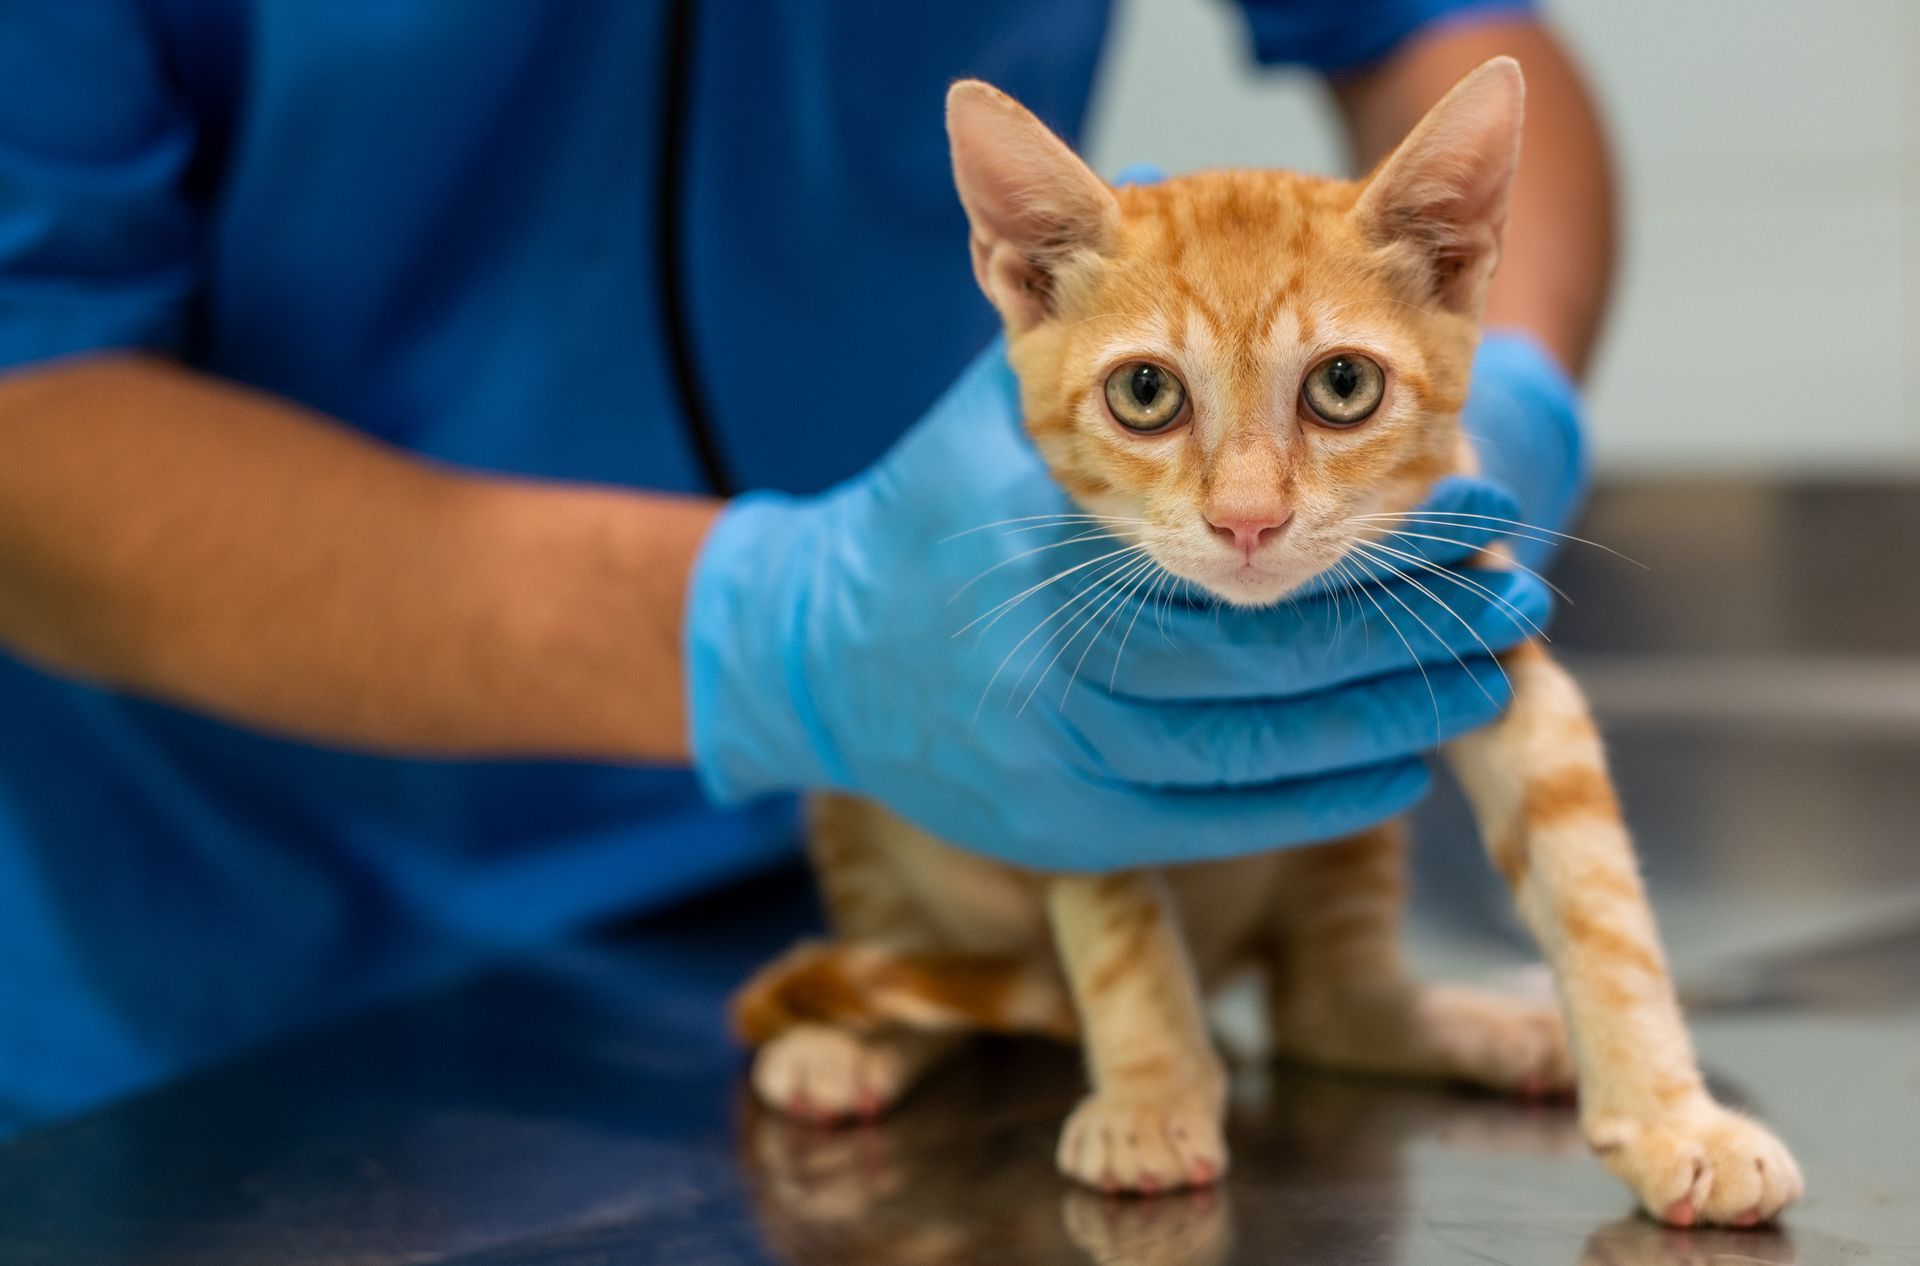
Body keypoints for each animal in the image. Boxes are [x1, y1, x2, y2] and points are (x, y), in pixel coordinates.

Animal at [729, 59, 1797, 1229]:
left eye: (1343, 385)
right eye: (1145, 392)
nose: (1248, 520)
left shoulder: (1497, 658)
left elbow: (1601, 903)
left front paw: (1673, 1116)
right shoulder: (1072, 749)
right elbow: (1119, 931)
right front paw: (1152, 1092)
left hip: (1352, 829)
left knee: (1323, 1013)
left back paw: (1488, 1030)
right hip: (855, 808)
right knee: (931, 968)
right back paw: (848, 1042)